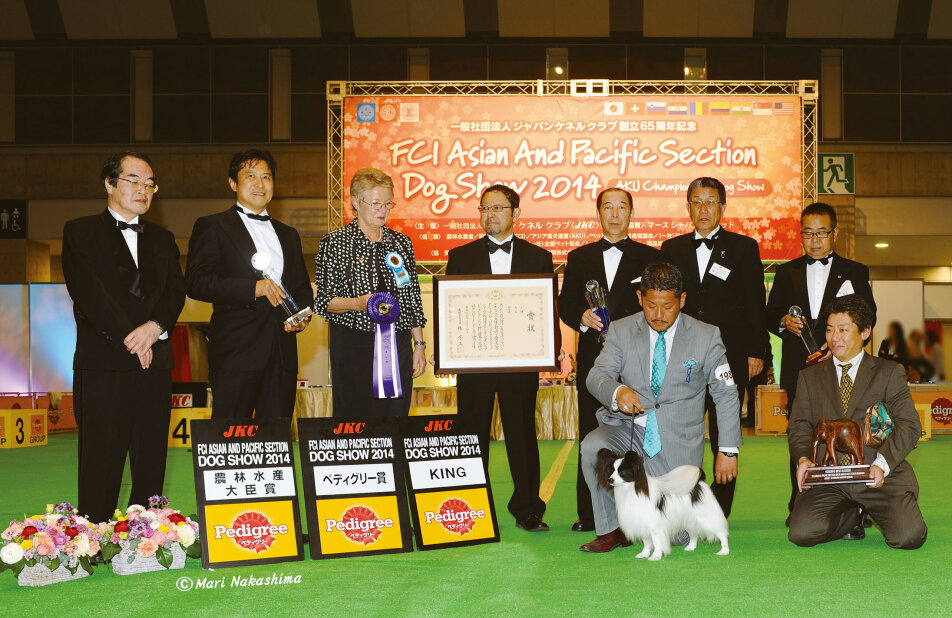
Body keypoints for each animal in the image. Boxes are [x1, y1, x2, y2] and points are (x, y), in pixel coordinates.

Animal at [596, 448, 728, 560]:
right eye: (611, 471)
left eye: (622, 472)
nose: (610, 480)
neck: (631, 490)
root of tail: (699, 482)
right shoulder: (642, 523)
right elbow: (646, 542)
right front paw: (644, 554)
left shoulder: (654, 526)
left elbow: (656, 542)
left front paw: (655, 556)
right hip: (689, 519)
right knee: (694, 533)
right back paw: (691, 547)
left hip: (706, 517)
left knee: (721, 533)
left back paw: (724, 551)